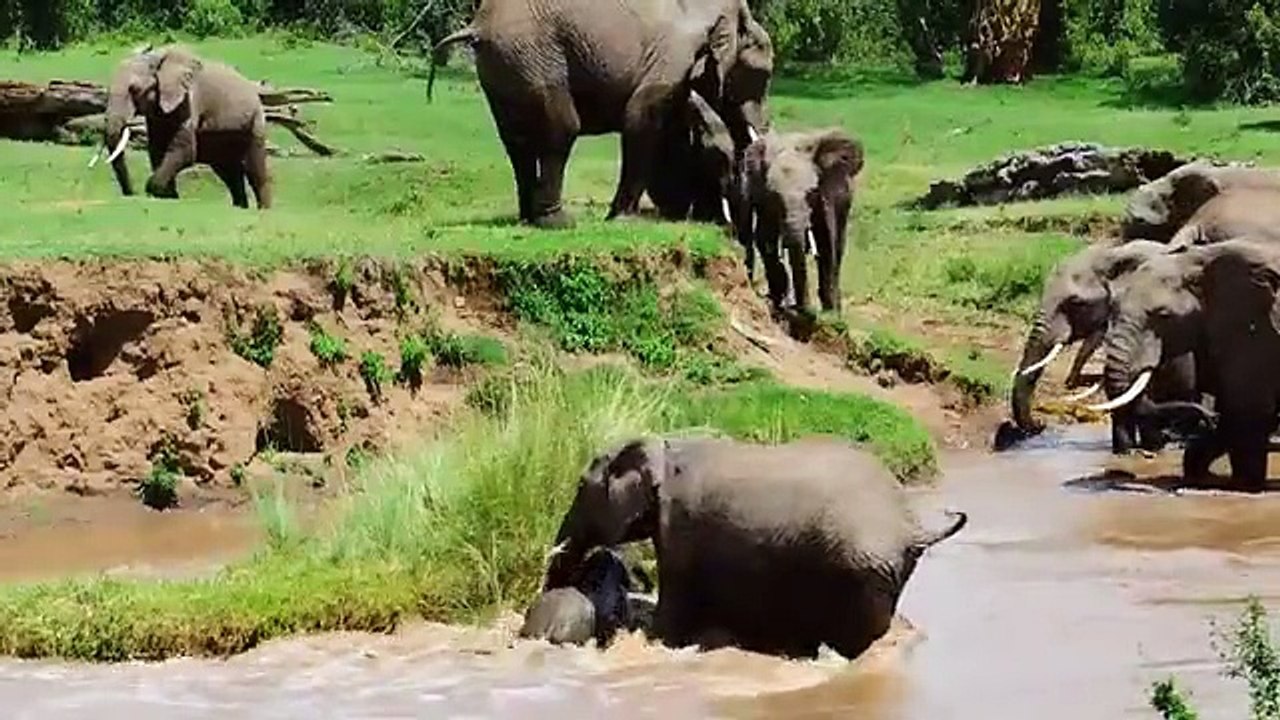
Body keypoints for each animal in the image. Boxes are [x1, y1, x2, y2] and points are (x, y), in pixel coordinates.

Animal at [94, 45, 272, 209]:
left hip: (255, 122)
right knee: (229, 172)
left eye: (134, 90)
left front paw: (159, 192)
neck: (158, 60)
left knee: (255, 171)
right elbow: (157, 149)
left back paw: (263, 209)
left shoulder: (189, 100)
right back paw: (240, 207)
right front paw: (169, 195)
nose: (131, 193)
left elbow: (184, 150)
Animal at [426, 0, 773, 229]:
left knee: (516, 142)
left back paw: (528, 219)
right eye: (762, 76)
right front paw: (624, 220)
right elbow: (639, 118)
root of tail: (479, 24)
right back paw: (558, 222)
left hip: (504, 66)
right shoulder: (675, 53)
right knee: (561, 129)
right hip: (533, 57)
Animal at [543, 435, 968, 661]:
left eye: (580, 486)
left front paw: (658, 639)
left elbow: (675, 597)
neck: (664, 445)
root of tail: (909, 527)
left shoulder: (679, 525)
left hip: (862, 571)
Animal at [1084, 237, 1280, 491]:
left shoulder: (1255, 331)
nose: (1208, 415)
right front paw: (1198, 474)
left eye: (1163, 316)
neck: (1194, 262)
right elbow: (1232, 413)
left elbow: (1247, 410)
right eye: (1112, 309)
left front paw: (1244, 485)